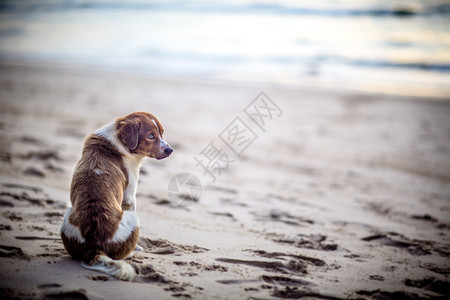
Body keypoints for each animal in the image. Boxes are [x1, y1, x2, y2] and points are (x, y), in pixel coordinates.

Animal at [59, 111, 172, 280]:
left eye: (162, 132)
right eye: (151, 136)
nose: (170, 150)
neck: (118, 143)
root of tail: (94, 247)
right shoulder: (129, 197)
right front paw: (138, 247)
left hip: (68, 214)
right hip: (133, 218)